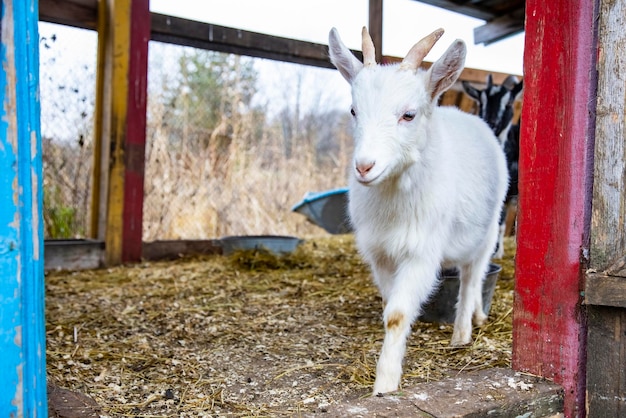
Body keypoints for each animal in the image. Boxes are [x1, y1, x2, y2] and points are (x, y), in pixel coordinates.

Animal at [326, 27, 508, 396]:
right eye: (353, 111)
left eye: (408, 115)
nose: (364, 166)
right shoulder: (380, 254)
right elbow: (388, 309)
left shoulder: (422, 252)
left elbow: (397, 314)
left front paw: (385, 384)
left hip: (488, 232)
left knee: (472, 277)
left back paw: (462, 333)